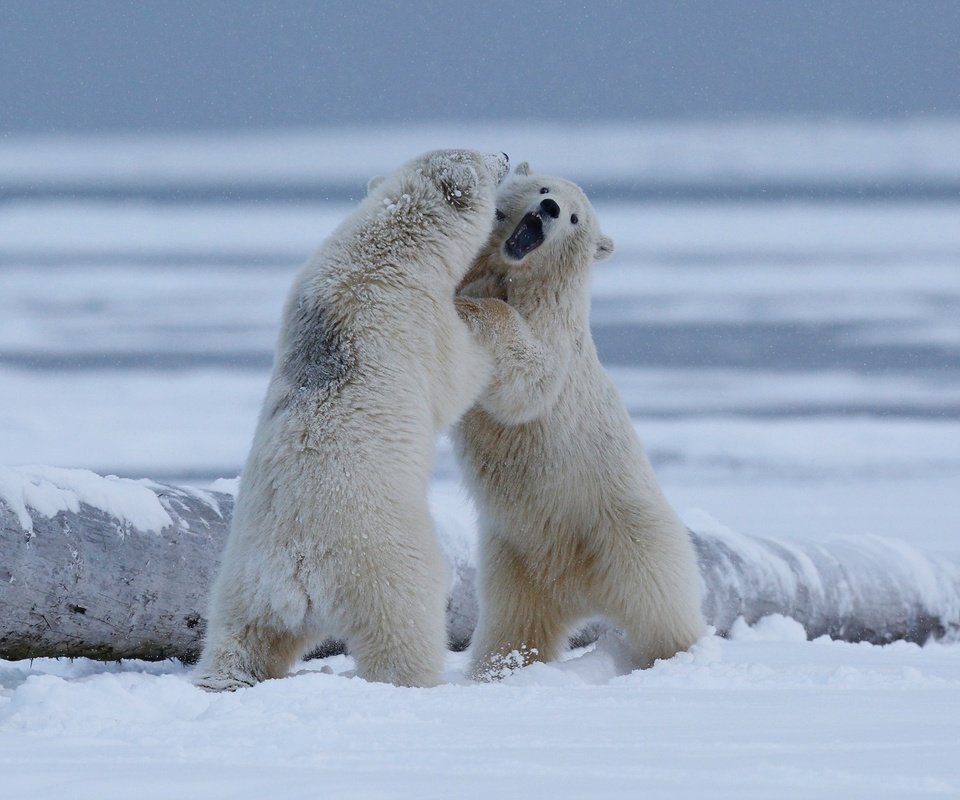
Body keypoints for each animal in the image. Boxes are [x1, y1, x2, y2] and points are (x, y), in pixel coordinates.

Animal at [194, 150, 510, 692]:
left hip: (242, 576)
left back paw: (222, 677)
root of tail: (296, 569)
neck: (386, 247)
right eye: (482, 157)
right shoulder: (418, 319)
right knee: (405, 626)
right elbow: (457, 374)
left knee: (242, 637)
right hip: (383, 562)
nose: (508, 156)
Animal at [450, 166, 704, 680]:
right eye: (545, 190)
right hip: (515, 557)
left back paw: (680, 656)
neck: (518, 273)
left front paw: (472, 309)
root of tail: (579, 589)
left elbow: (531, 377)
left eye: (574, 218)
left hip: (627, 532)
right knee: (514, 623)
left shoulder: (553, 331)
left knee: (663, 603)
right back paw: (494, 671)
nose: (547, 210)